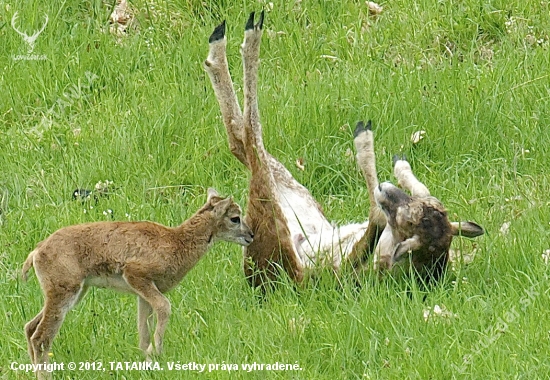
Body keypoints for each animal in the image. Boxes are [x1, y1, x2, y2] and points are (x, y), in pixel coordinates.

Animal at [21, 189, 254, 378]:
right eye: (235, 218)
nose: (251, 235)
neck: (177, 241)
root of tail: (37, 251)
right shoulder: (137, 276)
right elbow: (164, 307)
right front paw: (155, 352)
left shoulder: (143, 294)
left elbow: (143, 331)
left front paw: (147, 363)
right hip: (64, 295)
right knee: (40, 337)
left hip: (72, 294)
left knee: (30, 328)